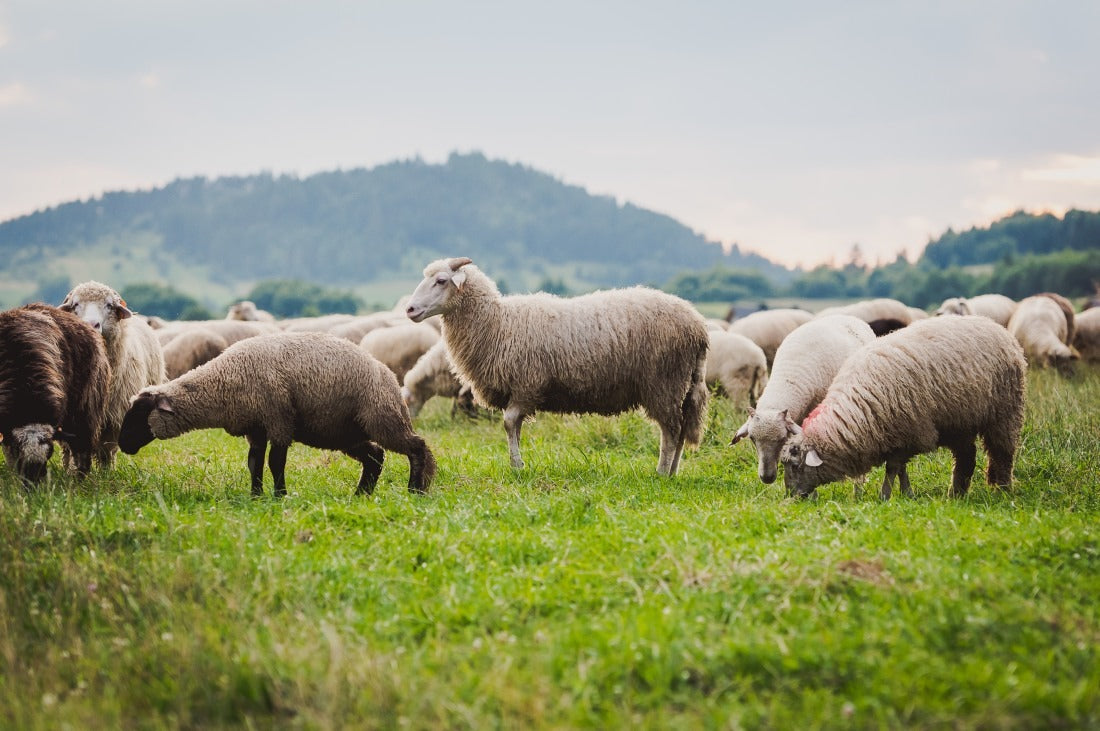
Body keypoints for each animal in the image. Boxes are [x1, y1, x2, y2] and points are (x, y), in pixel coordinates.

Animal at [0, 304, 110, 483]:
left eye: (50, 451)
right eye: (18, 450)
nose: (32, 483)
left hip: (86, 408)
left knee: (82, 446)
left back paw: (80, 479)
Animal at [60, 281, 166, 466]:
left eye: (109, 305)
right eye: (75, 305)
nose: (91, 325)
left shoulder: (115, 418)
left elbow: (106, 451)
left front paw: (106, 470)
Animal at [118, 332, 436, 496]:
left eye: (139, 415)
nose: (122, 445)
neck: (224, 382)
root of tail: (386, 373)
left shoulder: (278, 420)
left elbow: (275, 463)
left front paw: (279, 496)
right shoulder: (256, 428)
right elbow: (254, 463)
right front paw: (255, 496)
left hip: (384, 418)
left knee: (416, 446)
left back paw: (416, 490)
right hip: (343, 431)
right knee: (375, 456)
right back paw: (361, 494)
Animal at [405, 257, 709, 475]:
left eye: (441, 280)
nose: (409, 309)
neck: (497, 322)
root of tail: (698, 326)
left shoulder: (527, 385)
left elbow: (509, 422)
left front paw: (517, 466)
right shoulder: (520, 389)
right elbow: (514, 427)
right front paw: (517, 464)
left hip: (664, 381)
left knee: (670, 430)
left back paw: (661, 472)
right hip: (681, 383)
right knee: (682, 427)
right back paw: (673, 471)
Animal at [779, 316, 1026, 500]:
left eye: (795, 466)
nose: (793, 497)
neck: (860, 412)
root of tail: (995, 326)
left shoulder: (912, 432)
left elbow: (893, 467)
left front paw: (886, 495)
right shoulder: (899, 435)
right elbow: (901, 468)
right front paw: (906, 493)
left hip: (1005, 411)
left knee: (1003, 451)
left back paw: (1003, 490)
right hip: (959, 421)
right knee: (967, 456)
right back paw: (956, 493)